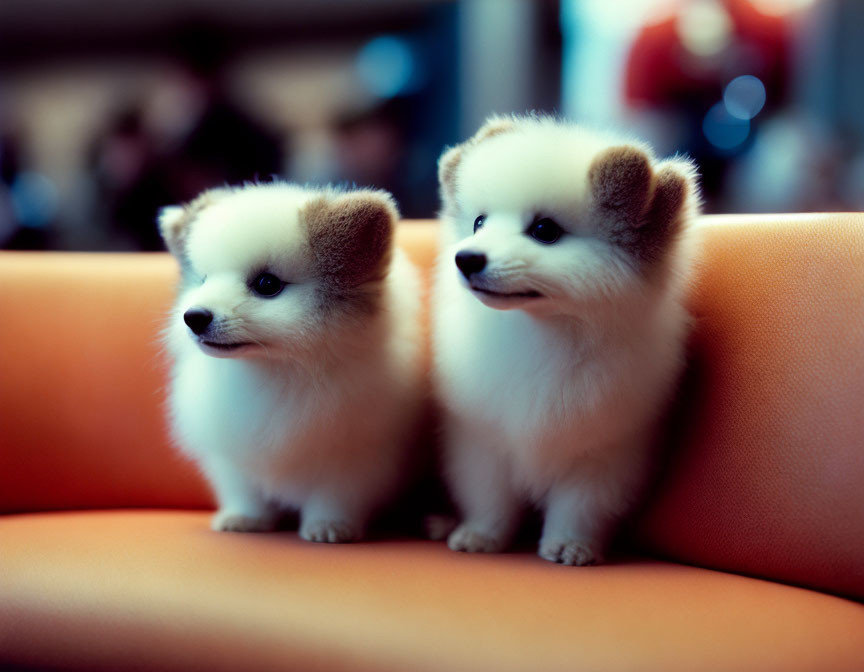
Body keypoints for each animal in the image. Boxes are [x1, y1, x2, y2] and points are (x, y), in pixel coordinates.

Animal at [160, 182, 424, 540]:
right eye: (202, 280)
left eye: (267, 284)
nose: (194, 317)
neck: (273, 370)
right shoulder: (234, 457)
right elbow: (246, 493)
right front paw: (244, 520)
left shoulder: (355, 459)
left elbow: (336, 496)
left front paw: (328, 528)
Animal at [436, 117, 700, 568]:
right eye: (478, 223)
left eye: (545, 231)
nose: (467, 258)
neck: (545, 334)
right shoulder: (483, 442)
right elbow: (490, 499)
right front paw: (480, 535)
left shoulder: (604, 454)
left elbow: (581, 506)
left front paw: (570, 546)